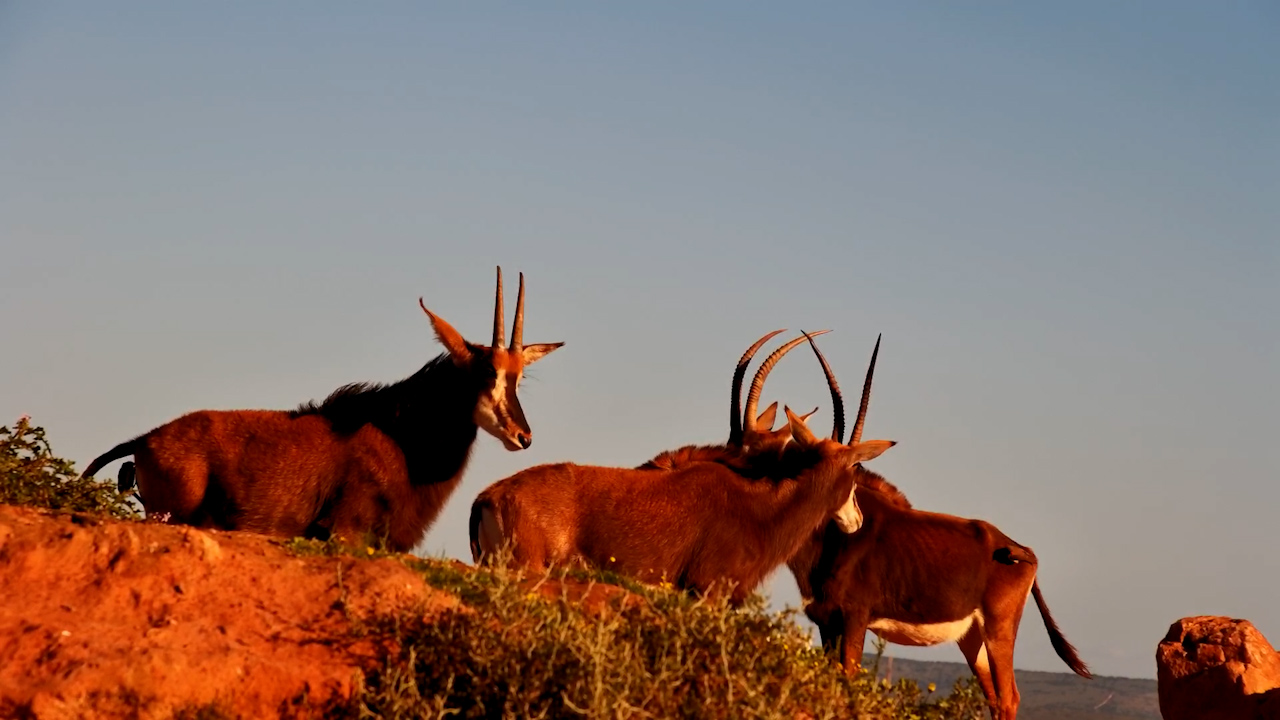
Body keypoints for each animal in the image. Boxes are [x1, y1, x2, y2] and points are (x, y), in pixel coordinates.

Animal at [81, 267, 563, 552]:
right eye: (486, 373)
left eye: (518, 377)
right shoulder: (344, 533)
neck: (400, 437)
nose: (523, 437)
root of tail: (146, 439)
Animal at [785, 337, 1090, 720]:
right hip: (972, 638)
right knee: (995, 698)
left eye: (854, 468)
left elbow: (848, 684)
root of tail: (1022, 550)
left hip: (998, 629)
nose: (851, 521)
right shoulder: (827, 623)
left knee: (1009, 698)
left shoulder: (853, 619)